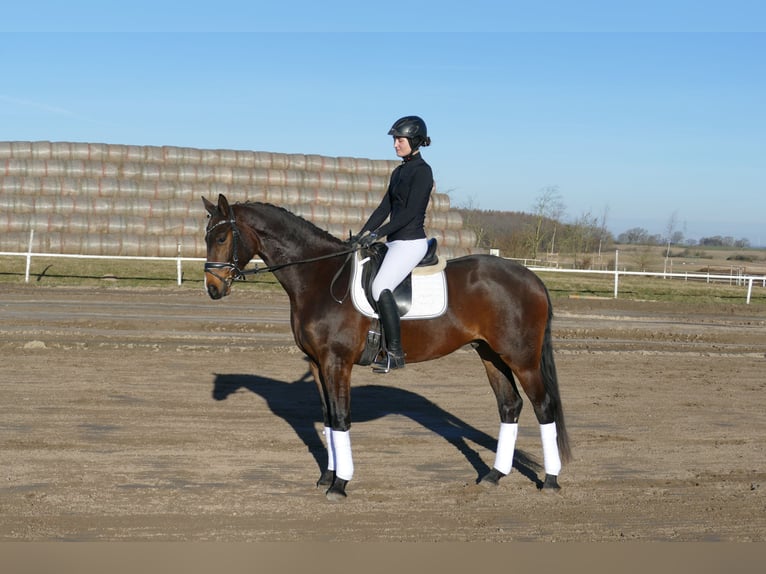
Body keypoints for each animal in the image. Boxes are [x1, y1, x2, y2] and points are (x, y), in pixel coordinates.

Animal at [202, 193, 571, 501]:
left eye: (221, 238)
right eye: (206, 238)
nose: (213, 289)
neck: (320, 277)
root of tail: (531, 278)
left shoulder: (337, 362)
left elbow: (341, 417)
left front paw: (340, 484)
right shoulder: (317, 363)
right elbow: (327, 416)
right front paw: (327, 477)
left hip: (522, 358)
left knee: (543, 407)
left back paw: (551, 481)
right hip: (490, 354)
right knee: (509, 406)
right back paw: (494, 476)